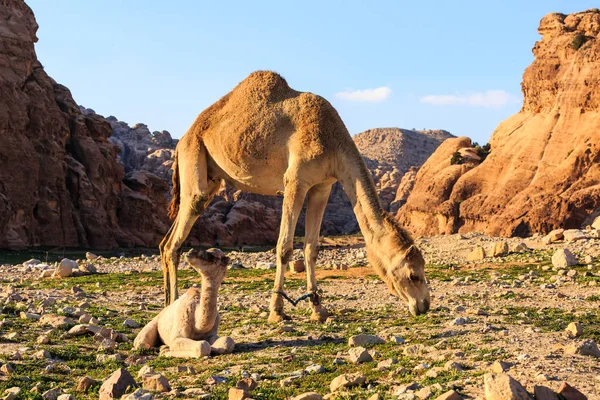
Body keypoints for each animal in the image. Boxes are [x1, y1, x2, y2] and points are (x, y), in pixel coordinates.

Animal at [159, 71, 432, 322]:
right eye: (413, 275)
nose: (424, 305)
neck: (332, 141)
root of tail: (183, 139)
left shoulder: (322, 187)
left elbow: (311, 248)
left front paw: (318, 309)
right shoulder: (295, 182)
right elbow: (284, 247)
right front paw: (277, 311)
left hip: (211, 176)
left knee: (165, 242)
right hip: (194, 156)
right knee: (176, 238)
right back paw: (172, 309)